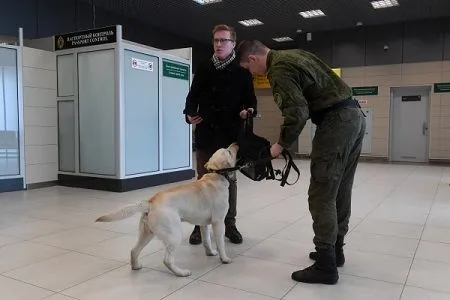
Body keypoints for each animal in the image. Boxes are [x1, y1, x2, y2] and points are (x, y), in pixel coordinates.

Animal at [95, 143, 239, 276]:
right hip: (174, 234)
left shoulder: (203, 224)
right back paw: (181, 272)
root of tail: (150, 202)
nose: (235, 143)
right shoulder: (218, 222)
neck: (216, 176)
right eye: (228, 151)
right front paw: (224, 259)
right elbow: (220, 244)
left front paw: (210, 253)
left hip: (146, 233)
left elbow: (206, 241)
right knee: (167, 260)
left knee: (134, 250)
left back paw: (136, 266)